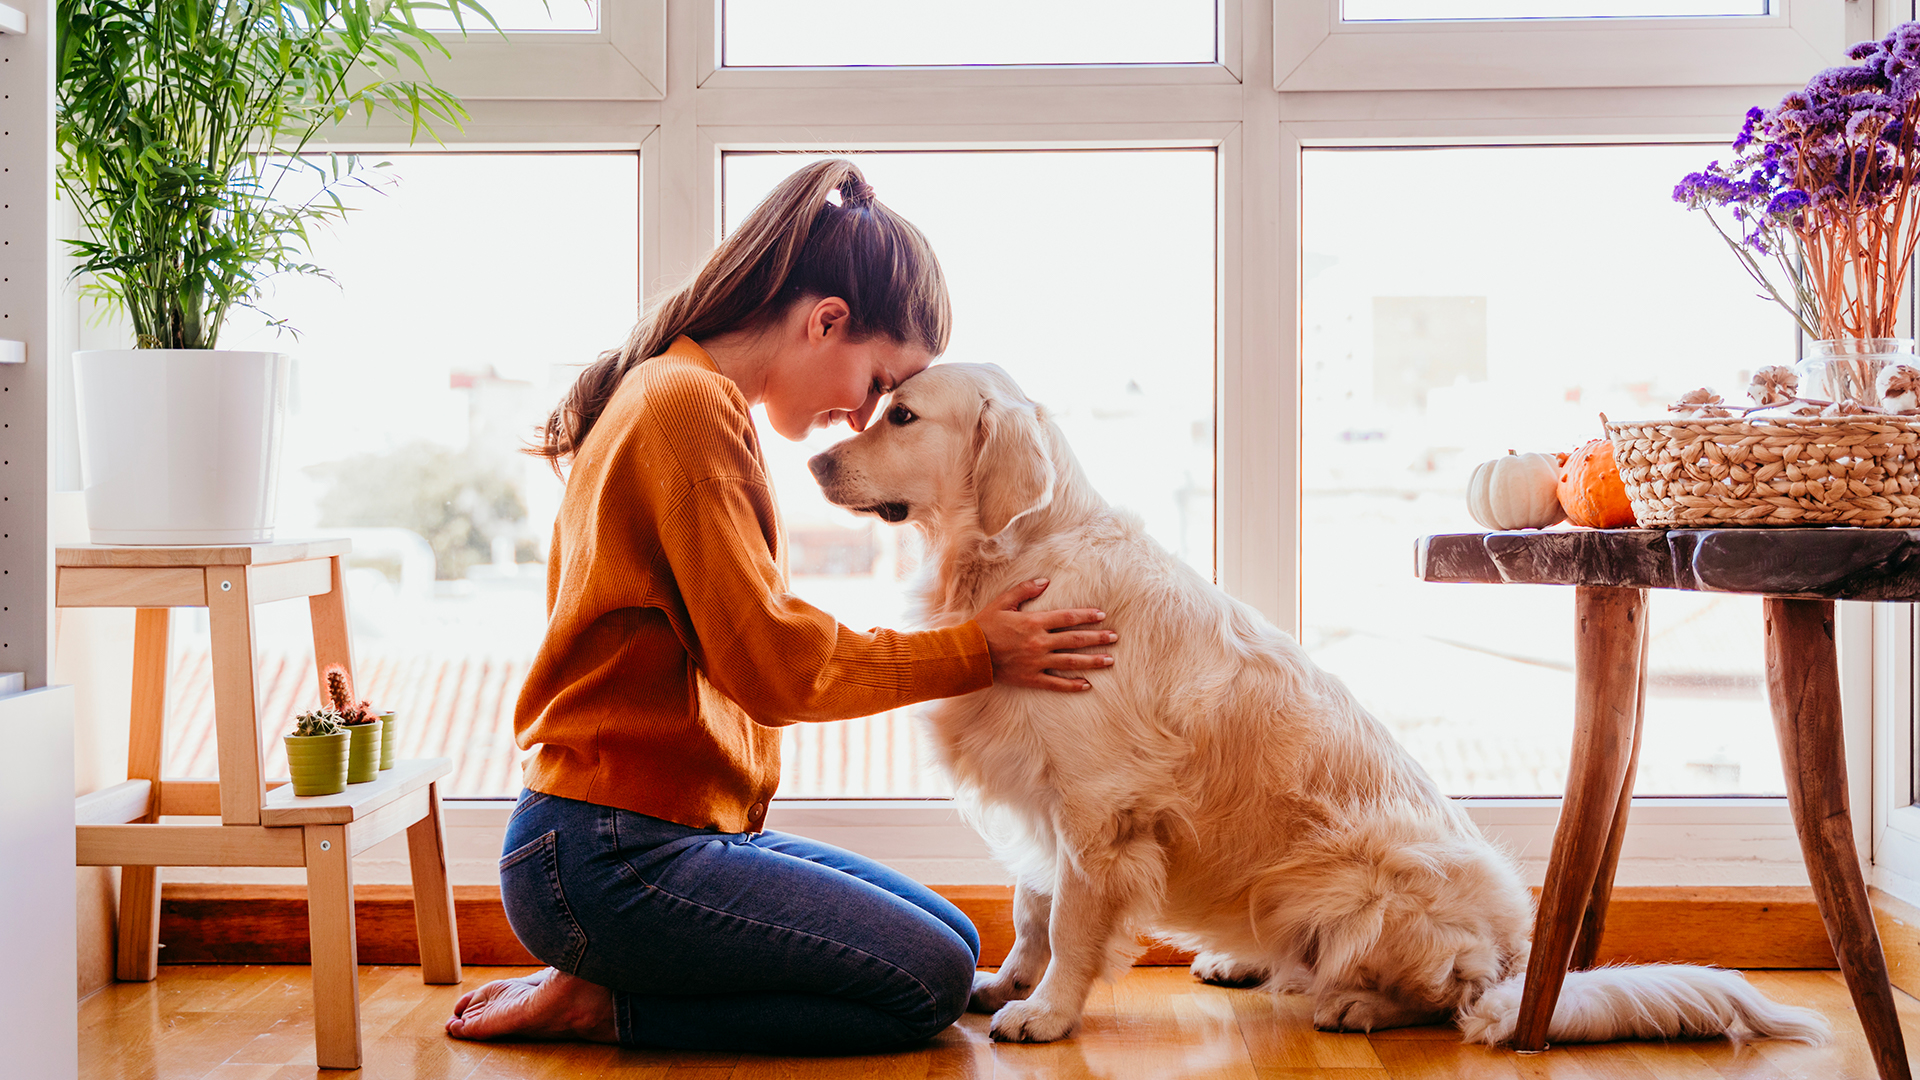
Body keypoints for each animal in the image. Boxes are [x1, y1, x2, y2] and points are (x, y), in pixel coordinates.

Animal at [802, 359, 1820, 1045]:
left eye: (901, 416)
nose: (811, 465)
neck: (1012, 559)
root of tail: (1516, 957)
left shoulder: (1097, 808)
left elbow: (1075, 920)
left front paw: (1046, 1012)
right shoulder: (1039, 791)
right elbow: (1030, 906)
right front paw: (1007, 983)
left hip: (1363, 881)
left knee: (1445, 997)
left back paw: (1356, 1002)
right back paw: (1242, 958)